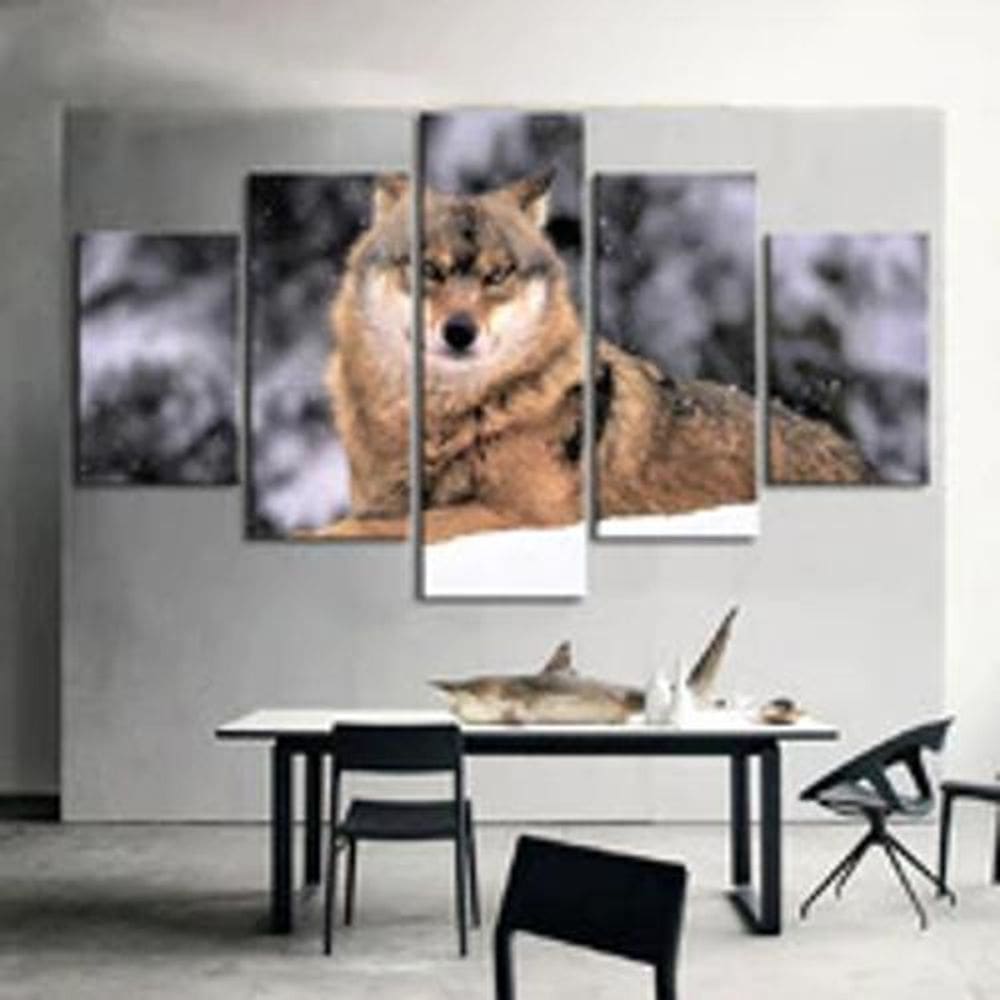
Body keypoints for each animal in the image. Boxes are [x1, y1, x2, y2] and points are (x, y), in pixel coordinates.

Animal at [316, 170, 871, 541]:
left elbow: (377, 529)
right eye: (429, 269)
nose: (459, 332)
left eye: (497, 276)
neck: (448, 418)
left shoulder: (528, 515)